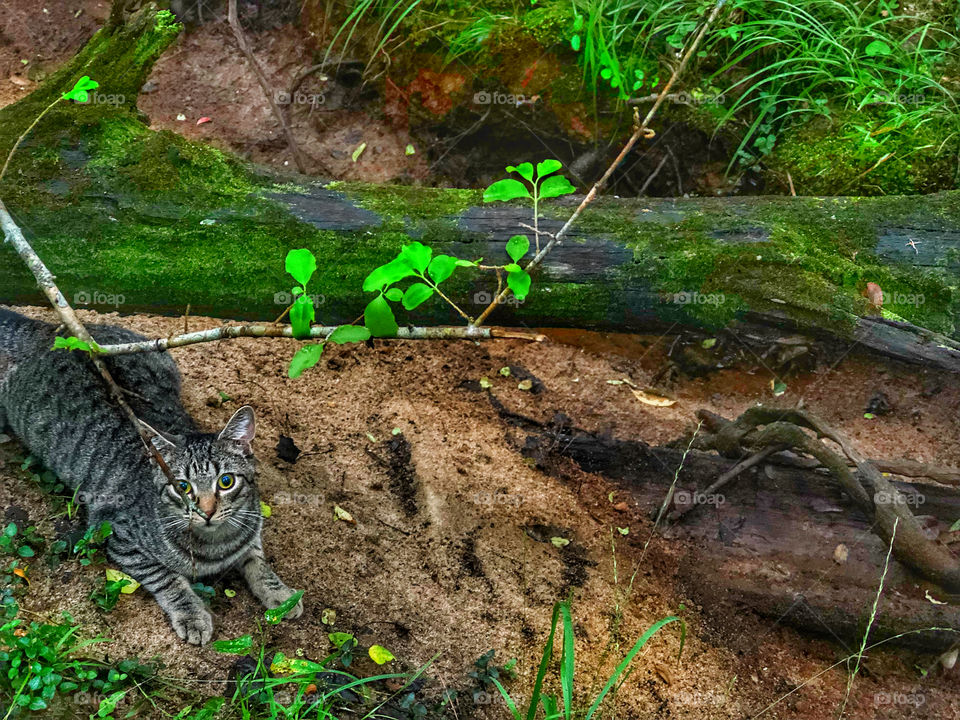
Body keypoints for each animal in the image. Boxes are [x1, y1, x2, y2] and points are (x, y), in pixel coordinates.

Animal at [0, 306, 304, 644]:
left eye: (226, 482)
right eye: (182, 487)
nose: (207, 511)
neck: (217, 544)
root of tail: (55, 332)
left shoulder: (251, 533)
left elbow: (259, 563)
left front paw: (281, 595)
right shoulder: (119, 536)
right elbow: (168, 579)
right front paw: (192, 615)